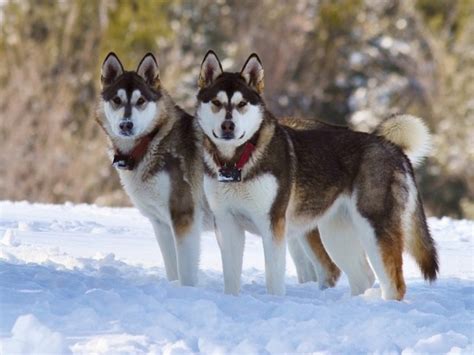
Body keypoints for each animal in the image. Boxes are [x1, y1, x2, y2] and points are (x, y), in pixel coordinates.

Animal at [98, 52, 204, 286]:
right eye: (117, 100)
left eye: (141, 101)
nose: (126, 125)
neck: (150, 143)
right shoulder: (161, 224)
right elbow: (172, 269)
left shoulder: (184, 217)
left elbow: (185, 273)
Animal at [194, 50, 438, 300]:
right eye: (216, 103)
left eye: (242, 103)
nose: (228, 126)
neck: (237, 162)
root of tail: (393, 147)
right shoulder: (226, 223)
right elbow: (231, 278)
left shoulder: (272, 225)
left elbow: (274, 279)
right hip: (336, 233)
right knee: (363, 277)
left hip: (374, 229)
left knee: (394, 285)